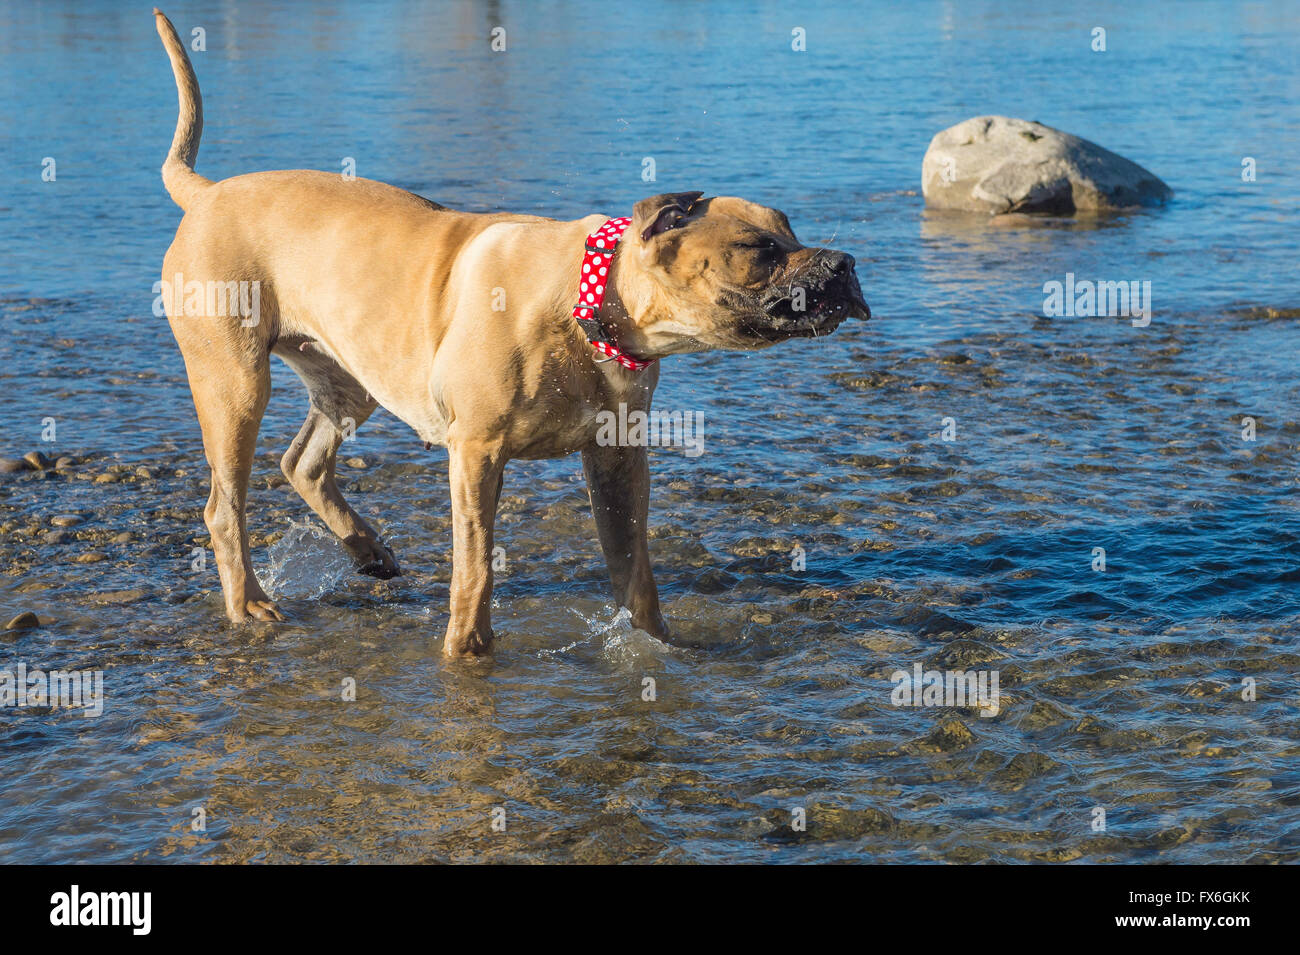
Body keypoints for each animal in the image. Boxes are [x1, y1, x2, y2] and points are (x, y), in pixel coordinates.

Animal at [152, 9, 868, 657]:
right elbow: (473, 566)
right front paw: (465, 649)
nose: (845, 263)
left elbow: (634, 570)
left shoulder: (616, 459)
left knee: (302, 462)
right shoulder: (476, 452)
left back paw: (368, 550)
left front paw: (655, 644)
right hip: (235, 384)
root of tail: (205, 193)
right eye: (757, 249)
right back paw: (249, 604)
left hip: (350, 380)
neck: (592, 304)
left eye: (791, 228)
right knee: (224, 506)